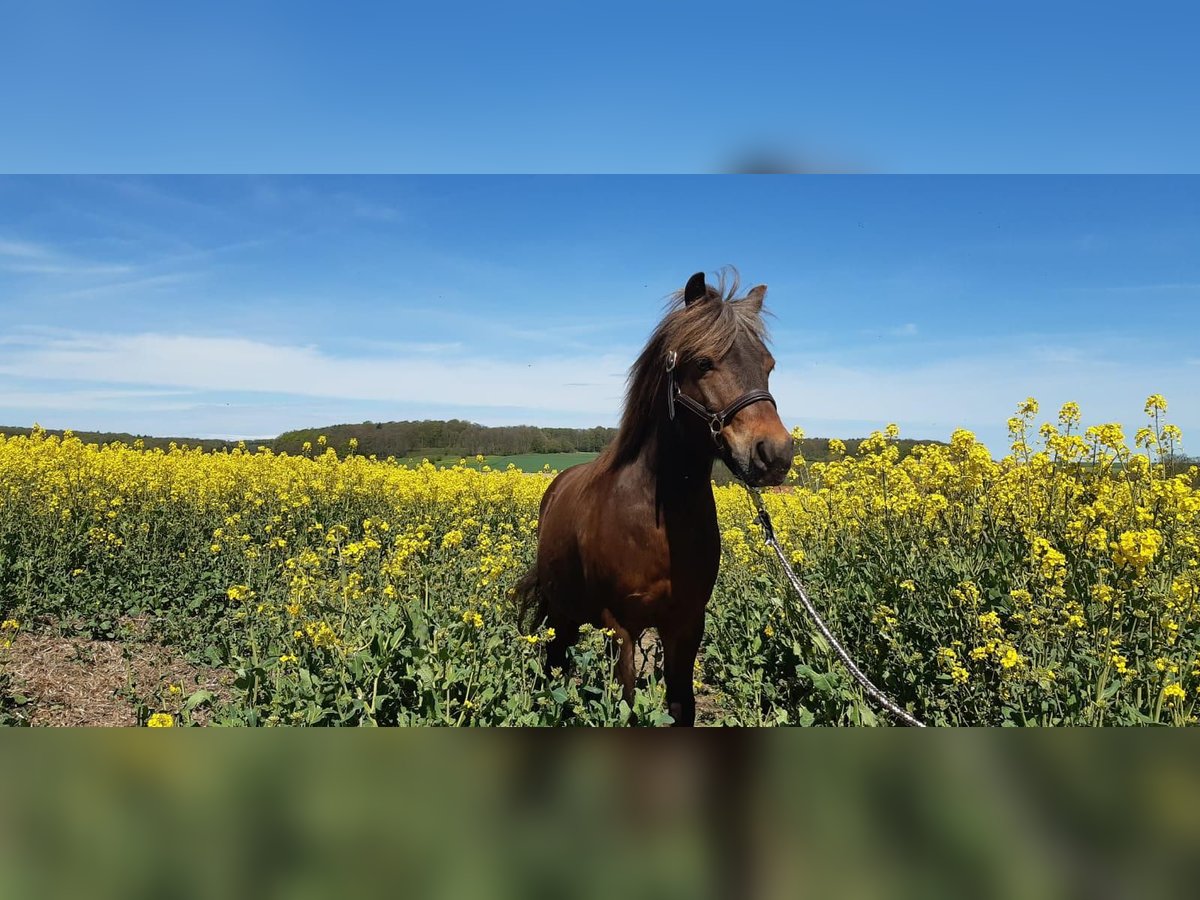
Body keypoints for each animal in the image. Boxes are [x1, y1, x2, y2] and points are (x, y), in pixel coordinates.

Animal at [513, 271, 787, 729]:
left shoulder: (687, 624)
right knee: (553, 659)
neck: (657, 522)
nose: (775, 455)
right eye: (704, 362)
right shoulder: (621, 628)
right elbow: (624, 705)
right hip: (561, 610)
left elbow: (681, 707)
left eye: (768, 366)